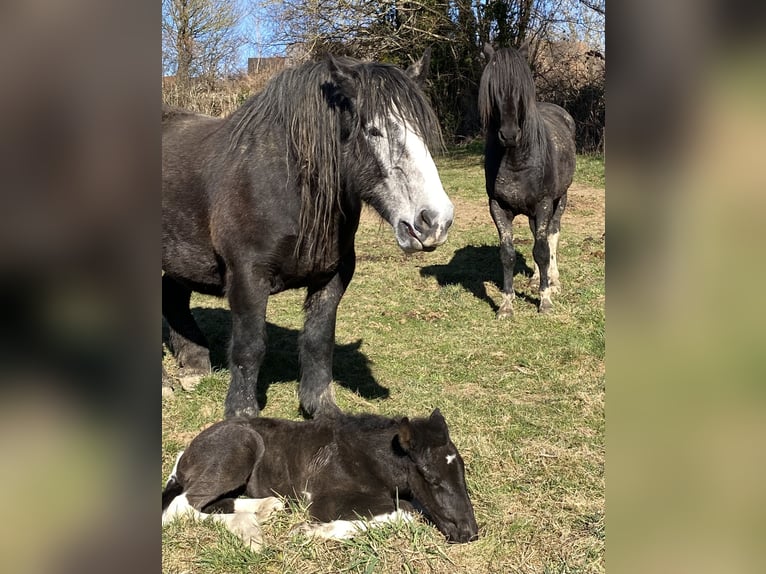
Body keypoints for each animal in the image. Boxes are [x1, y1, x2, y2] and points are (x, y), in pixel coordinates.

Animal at [159, 50, 452, 418]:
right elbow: (249, 346)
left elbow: (318, 341)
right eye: (373, 130)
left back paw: (195, 363)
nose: (435, 222)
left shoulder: (332, 277)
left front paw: (320, 408)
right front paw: (241, 414)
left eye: (423, 133)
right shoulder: (248, 276)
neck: (288, 186)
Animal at [164, 412, 480, 552]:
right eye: (431, 478)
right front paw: (307, 531)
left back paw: (267, 507)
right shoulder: (325, 502)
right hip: (240, 448)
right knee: (180, 507)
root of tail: (186, 454)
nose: (469, 533)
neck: (364, 457)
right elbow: (406, 512)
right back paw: (250, 532)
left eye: (463, 473)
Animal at [480, 44, 576, 320]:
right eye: (492, 88)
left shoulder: (543, 203)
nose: (509, 134)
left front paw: (545, 301)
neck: (516, 159)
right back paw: (535, 280)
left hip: (560, 200)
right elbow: (507, 254)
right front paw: (506, 304)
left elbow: (543, 251)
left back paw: (553, 281)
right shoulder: (497, 206)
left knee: (551, 235)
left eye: (521, 90)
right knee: (537, 235)